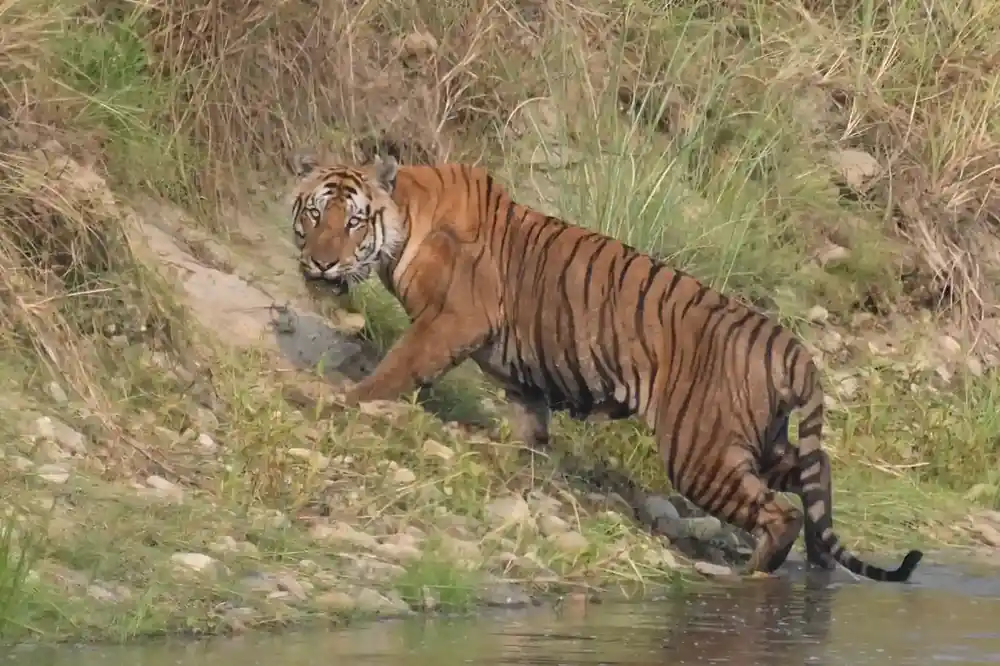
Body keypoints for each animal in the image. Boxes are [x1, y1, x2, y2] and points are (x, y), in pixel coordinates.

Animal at [289, 151, 924, 583]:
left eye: (353, 222)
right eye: (314, 214)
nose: (320, 264)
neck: (407, 216)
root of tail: (793, 349)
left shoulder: (453, 321)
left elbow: (400, 365)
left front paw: (349, 399)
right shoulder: (520, 372)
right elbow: (529, 422)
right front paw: (523, 462)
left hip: (701, 450)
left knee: (781, 513)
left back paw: (752, 574)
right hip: (755, 442)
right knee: (818, 476)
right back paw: (818, 561)